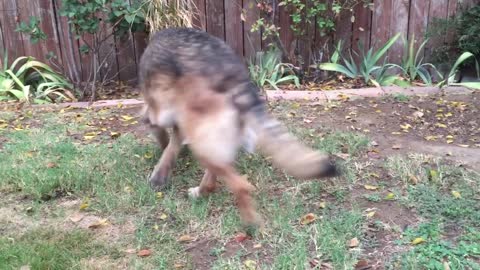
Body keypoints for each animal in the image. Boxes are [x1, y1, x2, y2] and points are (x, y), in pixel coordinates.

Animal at [137, 28, 336, 226]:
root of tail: (230, 70)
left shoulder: (162, 112)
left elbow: (163, 135)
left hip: (202, 140)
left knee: (240, 185)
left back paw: (251, 223)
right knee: (214, 179)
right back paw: (202, 193)